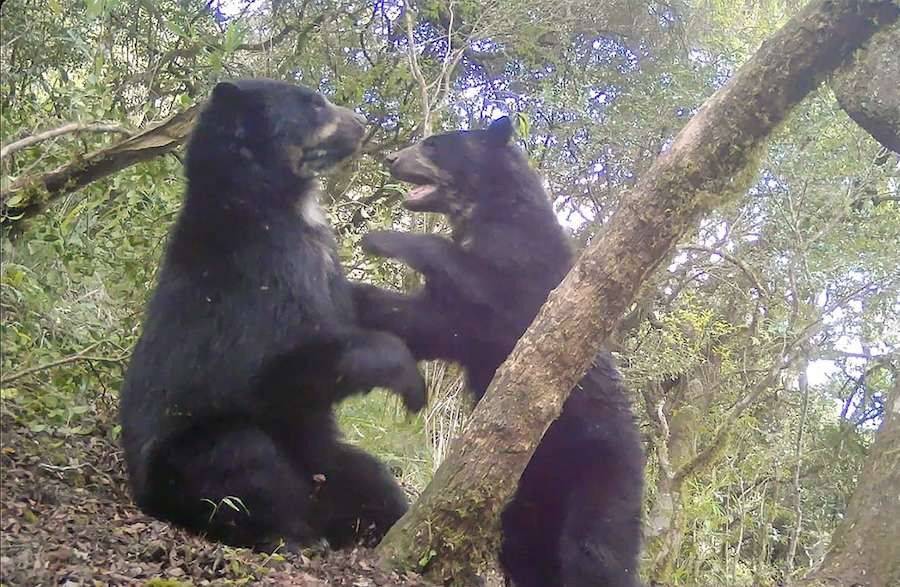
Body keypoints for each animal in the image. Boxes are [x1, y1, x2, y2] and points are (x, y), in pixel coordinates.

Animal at [119, 79, 426, 552]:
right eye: (314, 104)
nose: (362, 123)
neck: (276, 205)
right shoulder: (256, 282)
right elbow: (276, 371)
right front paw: (408, 378)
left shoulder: (323, 267)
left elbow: (354, 306)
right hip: (186, 459)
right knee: (245, 460)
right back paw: (293, 534)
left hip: (322, 457)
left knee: (367, 476)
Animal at [352, 117, 645, 587]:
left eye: (433, 145)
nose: (391, 158)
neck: (483, 212)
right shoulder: (457, 318)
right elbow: (426, 321)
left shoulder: (530, 280)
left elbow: (490, 287)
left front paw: (381, 238)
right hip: (528, 502)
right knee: (528, 553)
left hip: (603, 473)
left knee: (598, 552)